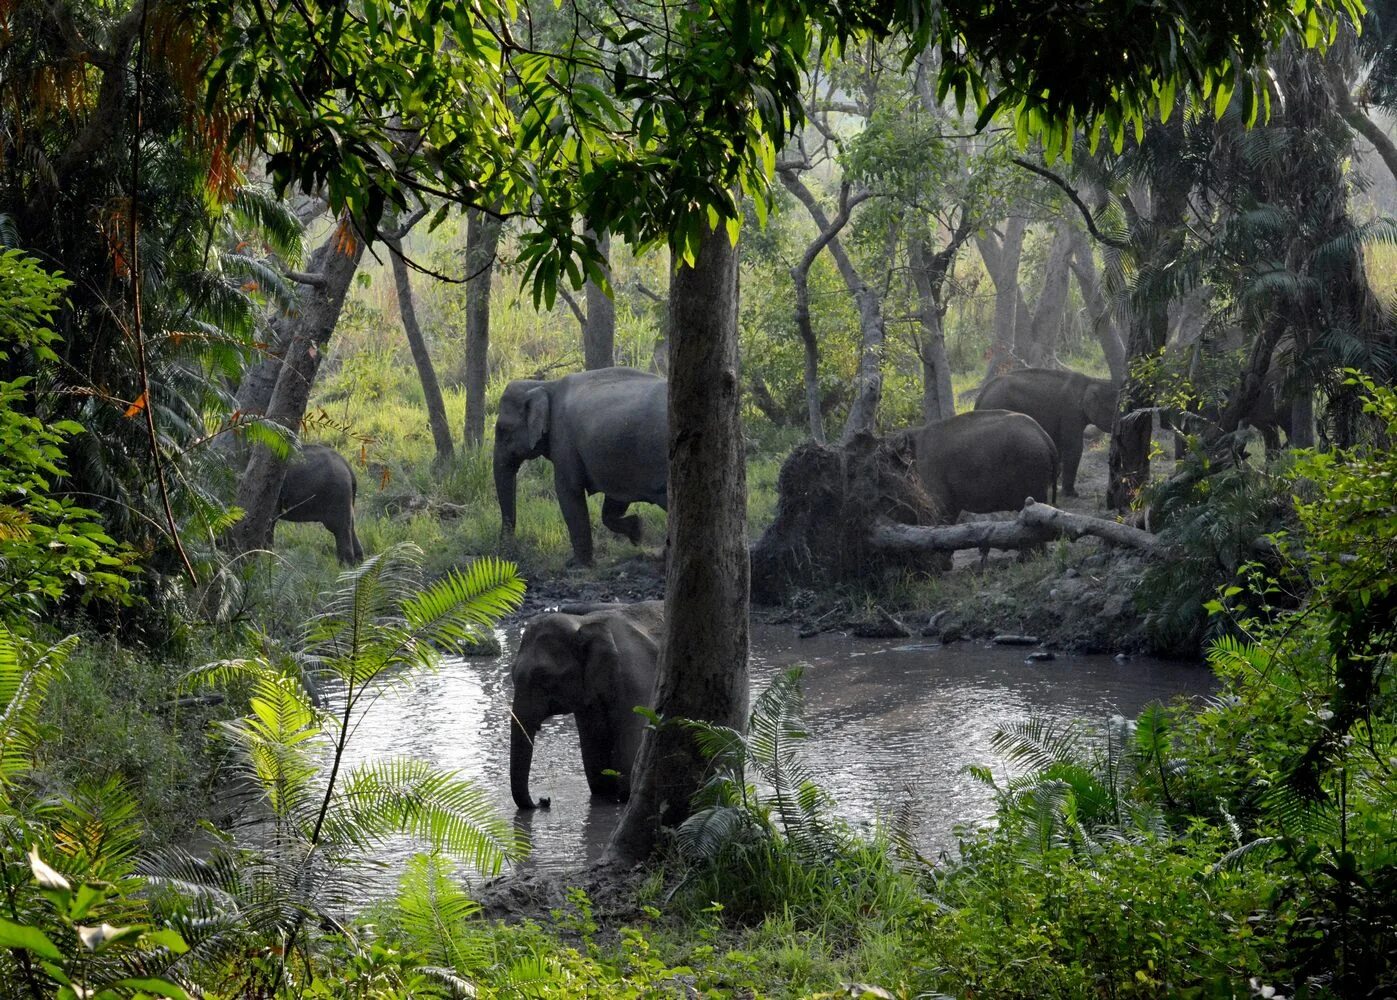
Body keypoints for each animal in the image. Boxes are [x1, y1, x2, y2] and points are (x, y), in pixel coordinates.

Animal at [491, 368, 664, 569]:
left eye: (503, 429)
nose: (506, 557)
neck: (546, 385)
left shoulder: (563, 439)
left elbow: (568, 491)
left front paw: (576, 565)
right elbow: (613, 502)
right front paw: (638, 531)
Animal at [508, 597, 664, 810]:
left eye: (544, 678)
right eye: (513, 675)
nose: (543, 800)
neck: (585, 622)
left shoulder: (638, 682)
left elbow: (627, 760)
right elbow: (596, 768)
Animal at [977, 365, 1117, 497]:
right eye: (1115, 410)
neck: (1090, 381)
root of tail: (982, 394)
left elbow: (1058, 445)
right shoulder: (1070, 412)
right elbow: (1073, 447)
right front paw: (1071, 494)